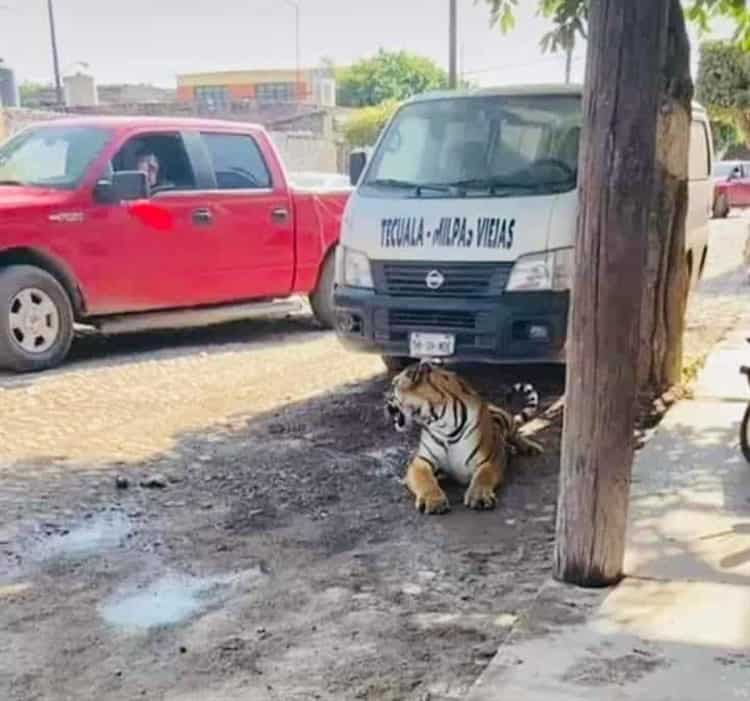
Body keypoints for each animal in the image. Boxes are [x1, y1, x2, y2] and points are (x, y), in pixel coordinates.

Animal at [384, 360, 544, 516]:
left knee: (516, 434)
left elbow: (483, 476)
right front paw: (434, 500)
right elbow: (425, 480)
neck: (439, 420)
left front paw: (479, 496)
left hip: (505, 417)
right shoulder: (421, 461)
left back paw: (531, 447)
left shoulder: (490, 459)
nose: (384, 399)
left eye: (393, 384)